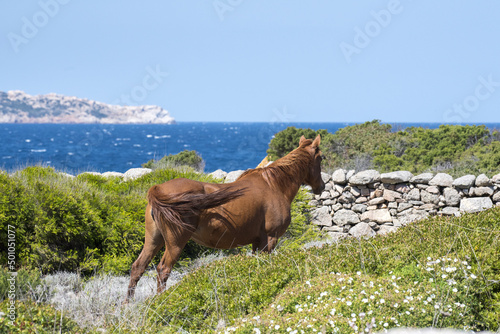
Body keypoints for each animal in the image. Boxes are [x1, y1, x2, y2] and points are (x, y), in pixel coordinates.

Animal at [126, 134, 324, 302]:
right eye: (321, 158)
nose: (321, 186)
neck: (274, 185)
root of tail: (157, 189)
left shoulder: (257, 242)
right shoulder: (270, 239)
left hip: (154, 239)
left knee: (138, 268)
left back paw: (128, 305)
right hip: (175, 243)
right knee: (163, 270)